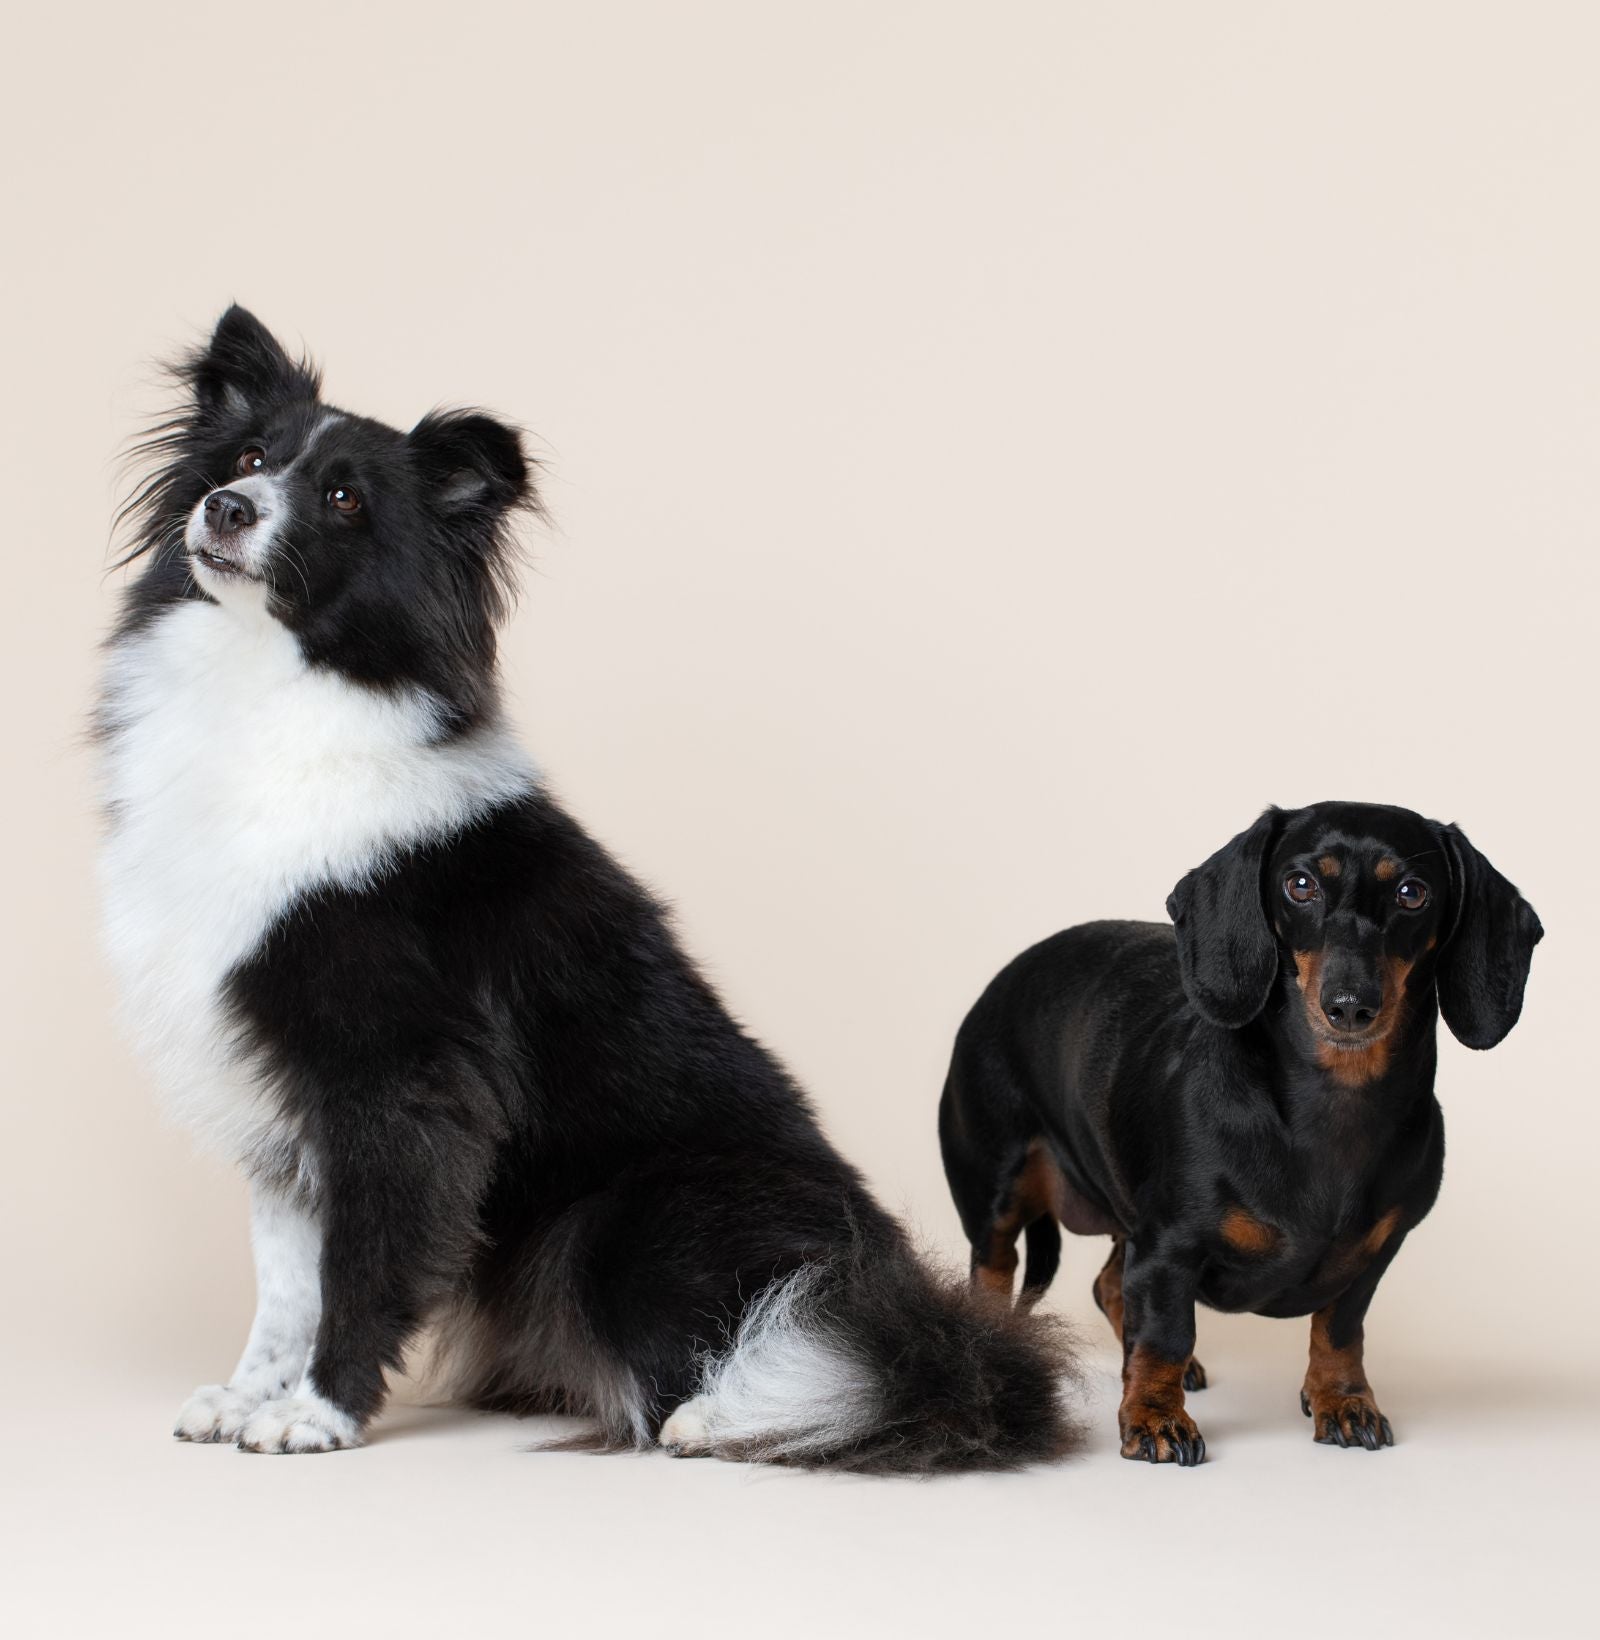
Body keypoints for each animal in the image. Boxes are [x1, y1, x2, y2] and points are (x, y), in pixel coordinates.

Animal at [96, 306, 1074, 1469]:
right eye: (247, 459)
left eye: (343, 499)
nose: (226, 509)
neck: (271, 684)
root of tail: (893, 1273)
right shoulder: (291, 1099)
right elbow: (287, 1279)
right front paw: (250, 1396)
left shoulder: (398, 1084)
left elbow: (360, 1267)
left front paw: (317, 1412)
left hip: (625, 1216)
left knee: (821, 1354)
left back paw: (724, 1417)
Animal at [938, 801, 1541, 1464]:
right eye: (1299, 884)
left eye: (1413, 893)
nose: (1350, 1005)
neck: (1333, 1103)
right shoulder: (1168, 1246)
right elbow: (1165, 1336)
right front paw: (1155, 1417)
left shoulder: (1376, 1254)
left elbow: (1340, 1331)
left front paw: (1343, 1402)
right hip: (997, 1193)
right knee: (996, 1273)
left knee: (1109, 1284)